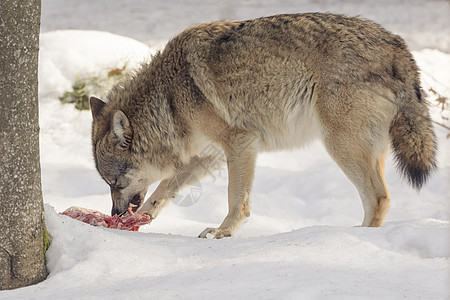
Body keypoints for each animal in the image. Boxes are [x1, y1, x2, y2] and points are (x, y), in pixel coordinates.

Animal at [89, 13, 438, 239]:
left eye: (116, 183)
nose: (114, 214)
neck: (169, 98)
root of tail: (395, 44)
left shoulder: (240, 144)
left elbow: (235, 199)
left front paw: (222, 232)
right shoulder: (209, 155)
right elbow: (165, 188)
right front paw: (145, 216)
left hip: (340, 146)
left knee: (379, 197)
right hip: (365, 150)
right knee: (378, 198)